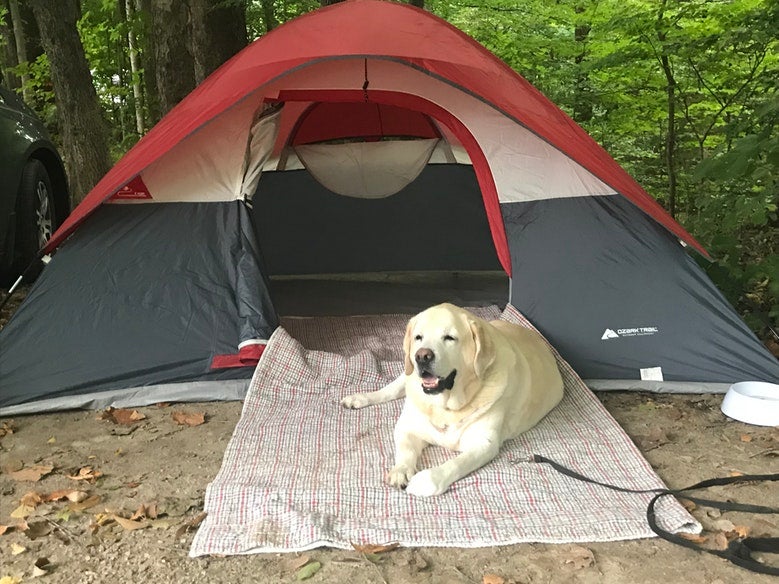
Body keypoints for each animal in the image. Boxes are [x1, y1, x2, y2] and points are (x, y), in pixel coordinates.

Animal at [344, 302, 564, 498]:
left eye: (449, 338)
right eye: (418, 337)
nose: (422, 356)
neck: (445, 407)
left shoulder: (484, 443)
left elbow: (455, 464)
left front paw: (424, 480)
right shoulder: (408, 426)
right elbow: (405, 450)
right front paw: (401, 470)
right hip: (408, 373)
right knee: (391, 389)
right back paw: (359, 398)